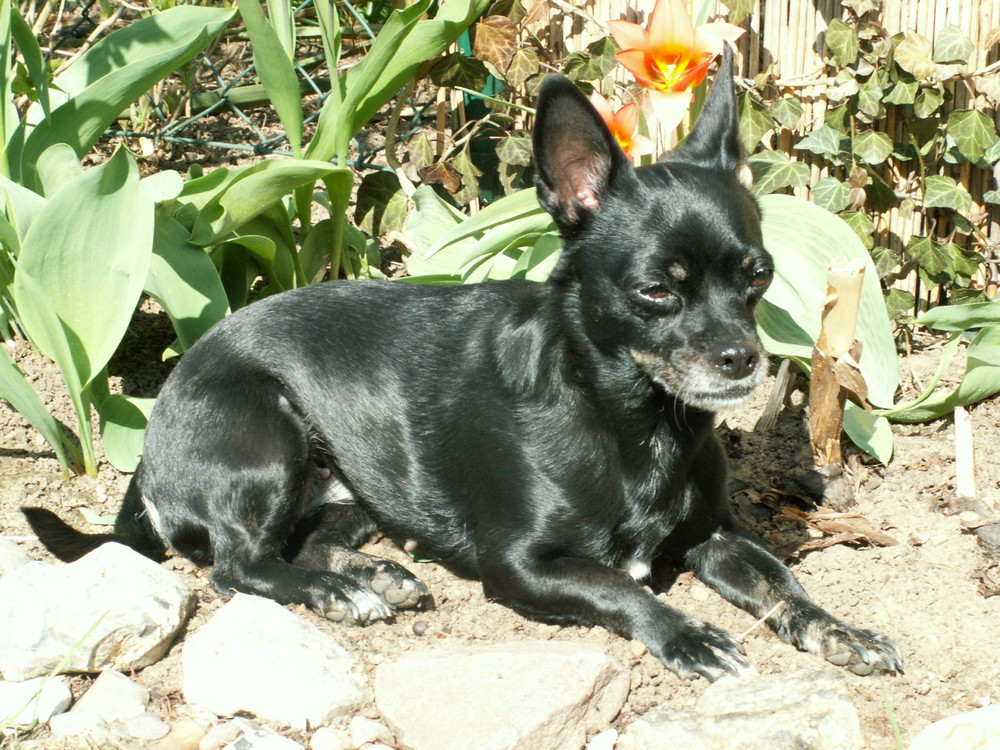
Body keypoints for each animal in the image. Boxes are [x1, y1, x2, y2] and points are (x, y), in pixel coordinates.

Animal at [23, 47, 904, 680]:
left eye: (757, 276)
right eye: (657, 290)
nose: (741, 357)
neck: (632, 419)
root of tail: (157, 434)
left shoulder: (716, 537)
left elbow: (784, 584)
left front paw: (844, 631)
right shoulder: (520, 566)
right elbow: (619, 583)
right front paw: (686, 632)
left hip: (348, 487)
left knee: (297, 542)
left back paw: (372, 576)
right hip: (266, 436)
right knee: (238, 564)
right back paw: (336, 593)